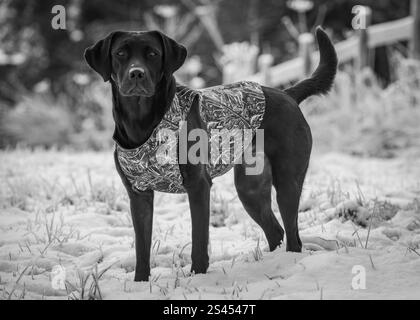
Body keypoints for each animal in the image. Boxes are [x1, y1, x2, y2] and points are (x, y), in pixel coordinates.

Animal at [85, 28, 338, 282]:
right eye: (120, 53)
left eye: (153, 54)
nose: (136, 73)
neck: (141, 121)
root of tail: (287, 94)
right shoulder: (138, 194)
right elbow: (141, 247)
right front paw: (140, 283)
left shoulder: (198, 186)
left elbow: (199, 241)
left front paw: (197, 276)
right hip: (250, 189)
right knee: (276, 230)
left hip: (287, 181)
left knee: (293, 235)